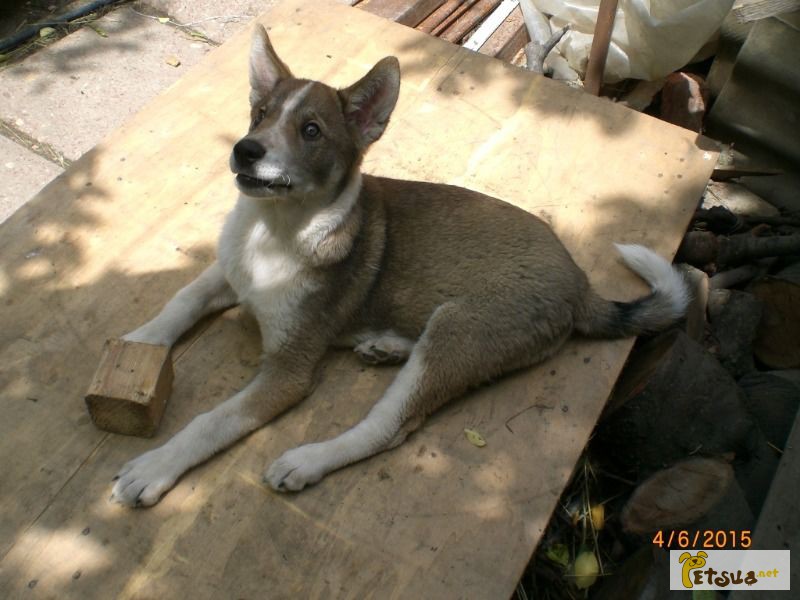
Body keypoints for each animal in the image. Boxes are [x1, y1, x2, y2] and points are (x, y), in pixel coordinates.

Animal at [109, 27, 692, 506]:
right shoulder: (227, 272)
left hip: (461, 328)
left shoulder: (288, 371)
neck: (272, 232)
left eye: (312, 131)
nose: (245, 150)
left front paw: (155, 468)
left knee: (389, 427)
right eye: (260, 115)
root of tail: (579, 282)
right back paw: (386, 345)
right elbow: (180, 300)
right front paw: (136, 347)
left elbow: (211, 421)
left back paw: (309, 459)